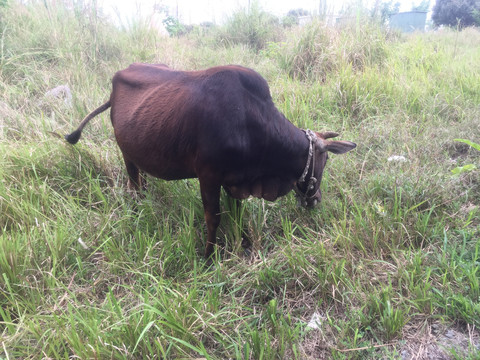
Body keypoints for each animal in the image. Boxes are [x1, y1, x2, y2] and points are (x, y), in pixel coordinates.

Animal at [65, 63, 354, 258]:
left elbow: (237, 214)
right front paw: (208, 256)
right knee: (134, 182)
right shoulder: (208, 176)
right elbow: (213, 218)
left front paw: (244, 243)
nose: (316, 200)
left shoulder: (235, 182)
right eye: (324, 161)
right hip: (126, 153)